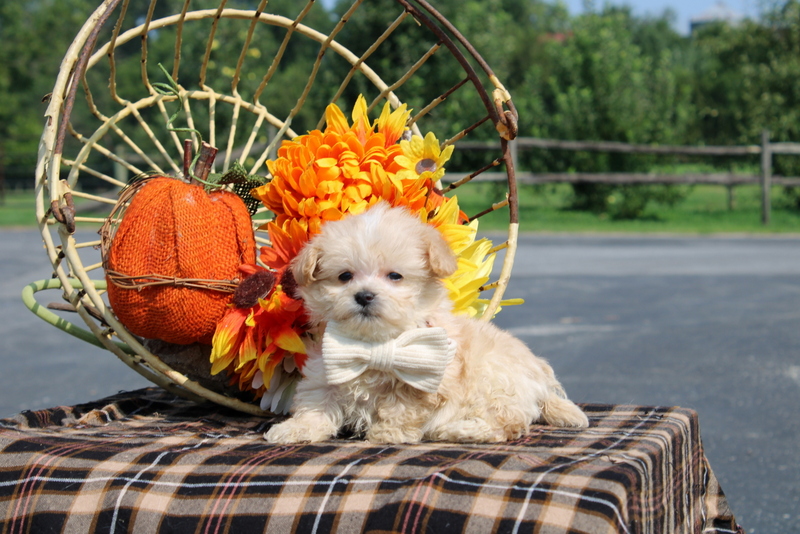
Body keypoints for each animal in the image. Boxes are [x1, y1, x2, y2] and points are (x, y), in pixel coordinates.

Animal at [266, 203, 584, 446]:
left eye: (395, 276)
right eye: (345, 276)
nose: (364, 295)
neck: (376, 344)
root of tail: (541, 381)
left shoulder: (427, 379)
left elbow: (403, 407)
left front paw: (388, 434)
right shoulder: (326, 369)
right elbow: (316, 404)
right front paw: (295, 429)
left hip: (493, 382)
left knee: (507, 425)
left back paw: (457, 430)